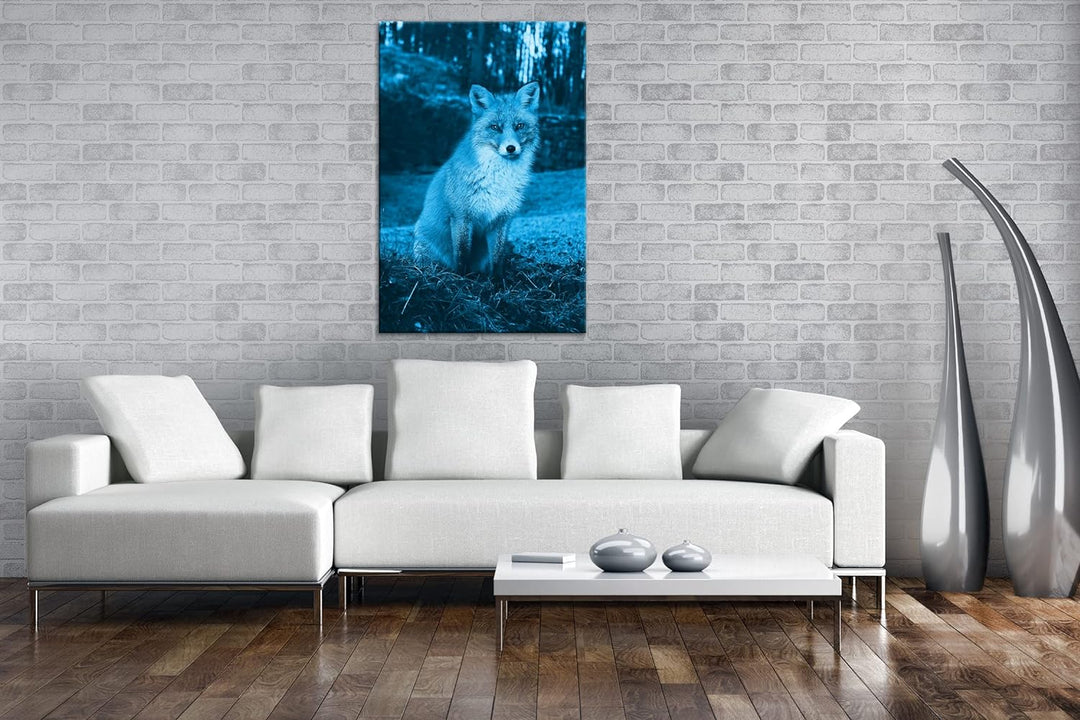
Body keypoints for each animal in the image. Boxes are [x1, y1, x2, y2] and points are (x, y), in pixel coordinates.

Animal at [412, 82, 540, 276]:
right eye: (495, 127)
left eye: (519, 126)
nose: (511, 148)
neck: (498, 179)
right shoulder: (461, 217)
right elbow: (462, 253)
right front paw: (462, 278)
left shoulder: (502, 219)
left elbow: (497, 257)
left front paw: (497, 281)